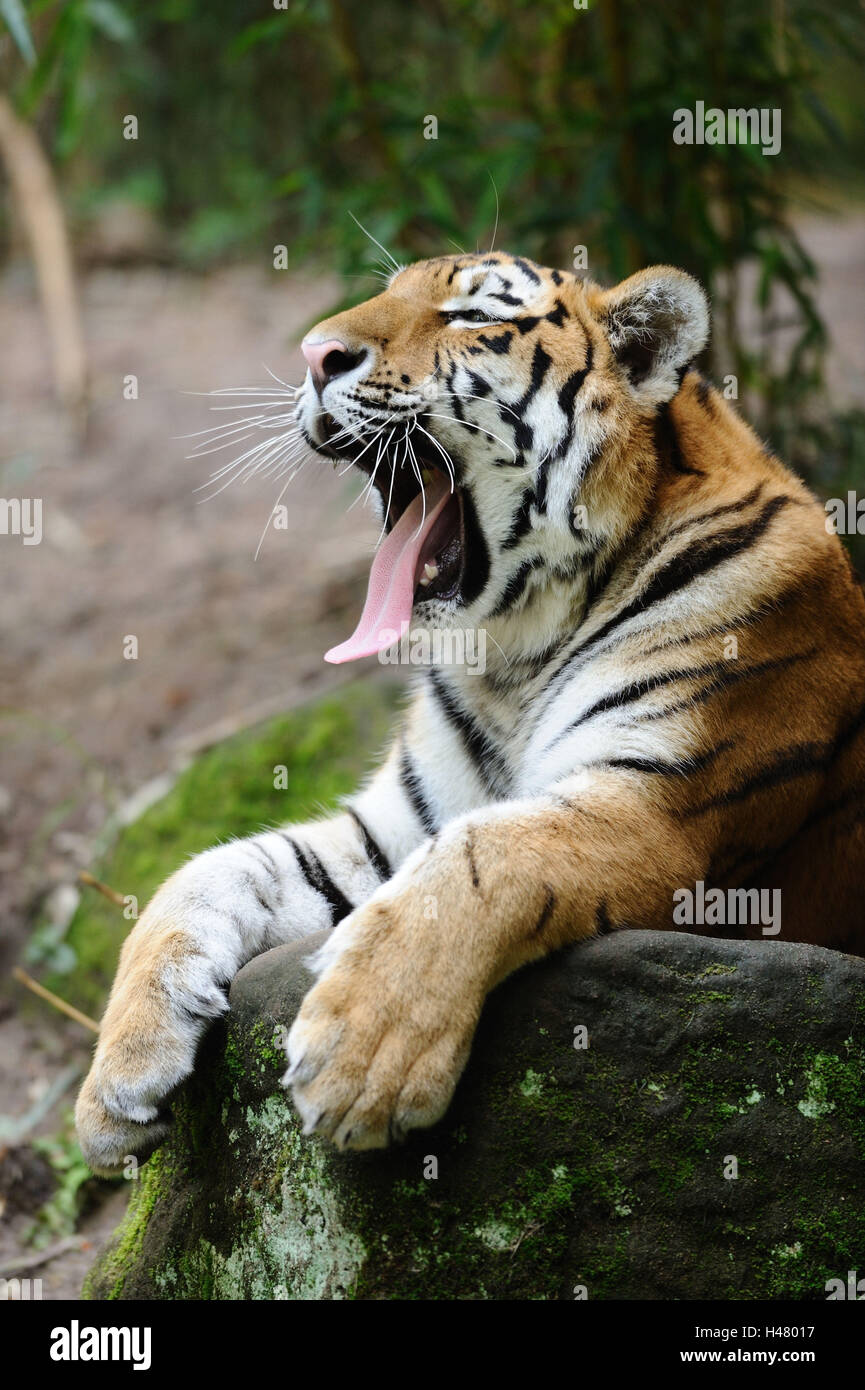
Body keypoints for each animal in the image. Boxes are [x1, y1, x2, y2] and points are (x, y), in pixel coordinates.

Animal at [75, 251, 865, 1173]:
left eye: (468, 316)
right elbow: (206, 871)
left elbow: (484, 856)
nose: (313, 354)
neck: (512, 655)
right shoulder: (389, 829)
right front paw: (116, 1081)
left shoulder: (654, 809)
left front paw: (361, 1059)